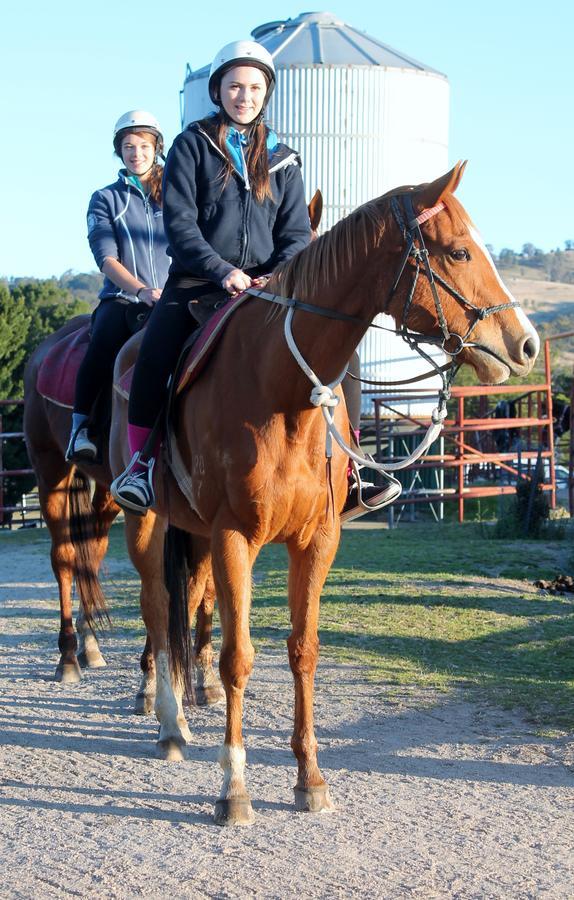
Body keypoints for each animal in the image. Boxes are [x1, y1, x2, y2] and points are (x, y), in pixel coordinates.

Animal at [108, 162, 540, 824]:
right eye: (459, 251)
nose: (527, 345)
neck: (282, 390)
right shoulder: (235, 536)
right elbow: (238, 657)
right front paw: (234, 788)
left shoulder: (318, 539)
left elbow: (303, 650)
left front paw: (309, 777)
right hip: (146, 523)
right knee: (157, 609)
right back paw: (171, 723)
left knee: (185, 606)